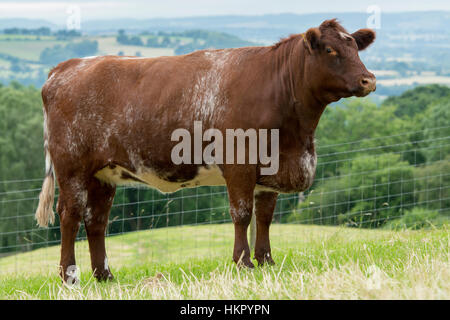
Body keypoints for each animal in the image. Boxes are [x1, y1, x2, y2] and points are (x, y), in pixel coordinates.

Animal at [35, 18, 374, 282]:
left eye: (355, 48)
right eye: (330, 50)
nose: (368, 80)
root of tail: (66, 67)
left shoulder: (271, 166)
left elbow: (264, 216)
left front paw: (267, 261)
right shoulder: (240, 162)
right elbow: (242, 213)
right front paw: (243, 262)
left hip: (104, 174)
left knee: (96, 220)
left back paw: (105, 275)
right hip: (72, 167)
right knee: (70, 215)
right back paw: (69, 276)